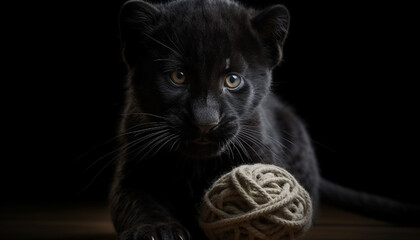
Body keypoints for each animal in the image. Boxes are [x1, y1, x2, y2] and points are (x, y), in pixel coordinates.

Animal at [111, 0, 420, 239]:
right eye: (178, 77)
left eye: (233, 80)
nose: (205, 122)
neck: (195, 168)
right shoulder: (130, 174)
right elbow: (136, 202)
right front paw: (157, 229)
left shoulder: (264, 156)